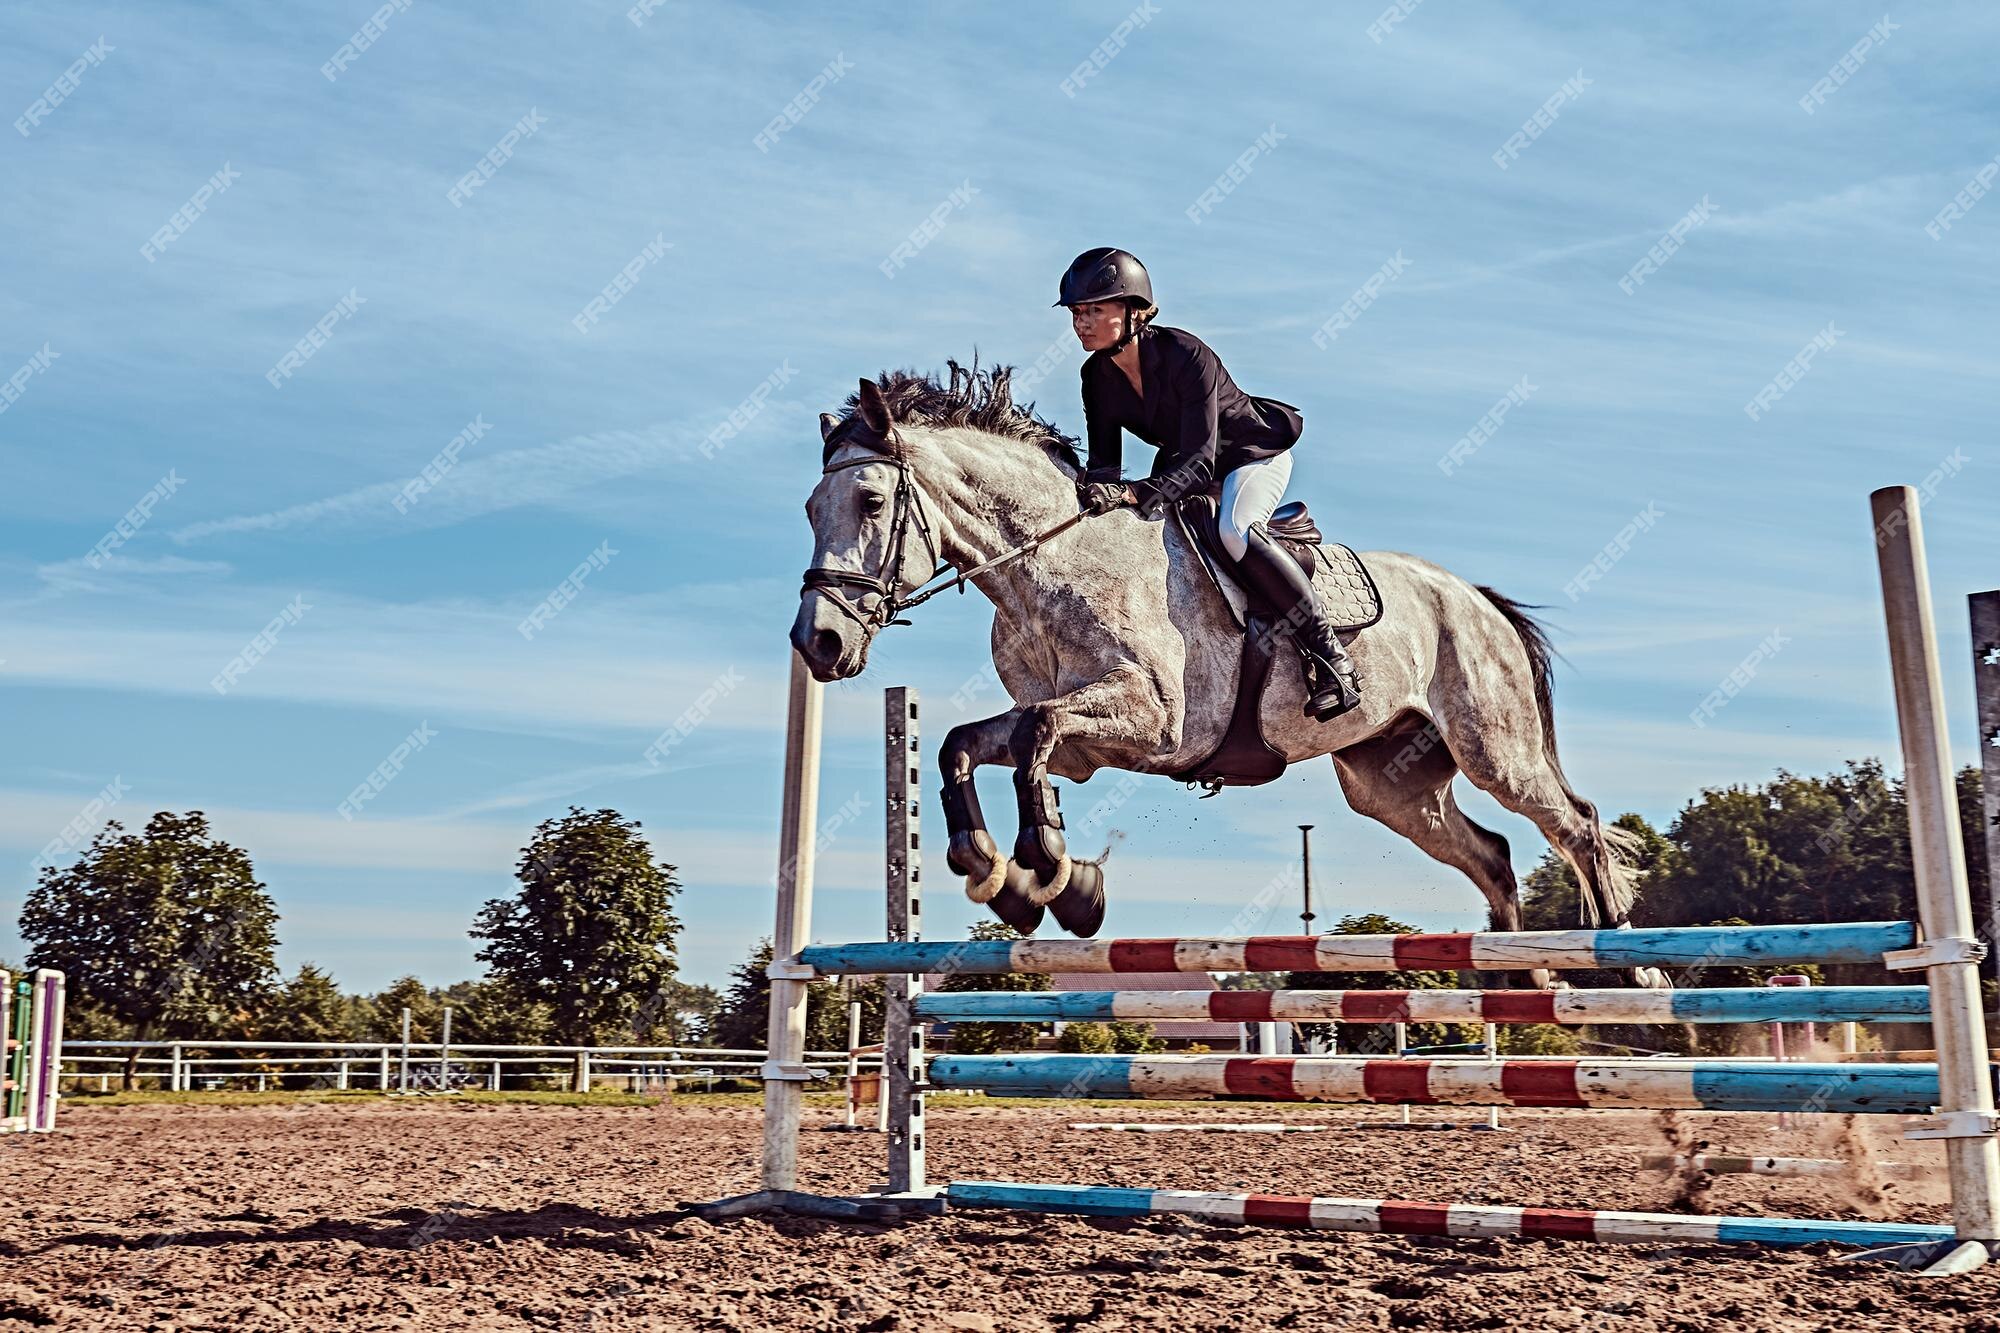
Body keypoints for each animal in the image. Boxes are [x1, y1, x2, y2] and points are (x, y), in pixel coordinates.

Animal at [788, 358, 1632, 948]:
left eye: (870, 501)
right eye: (809, 508)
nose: (816, 641)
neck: (1050, 567)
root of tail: (1477, 598)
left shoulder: (1159, 723)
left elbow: (1034, 734)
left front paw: (1050, 865)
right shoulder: (1082, 743)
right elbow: (972, 743)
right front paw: (1005, 873)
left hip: (1497, 749)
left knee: (1579, 825)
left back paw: (1628, 968)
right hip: (1389, 782)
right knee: (1491, 854)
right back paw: (1521, 989)